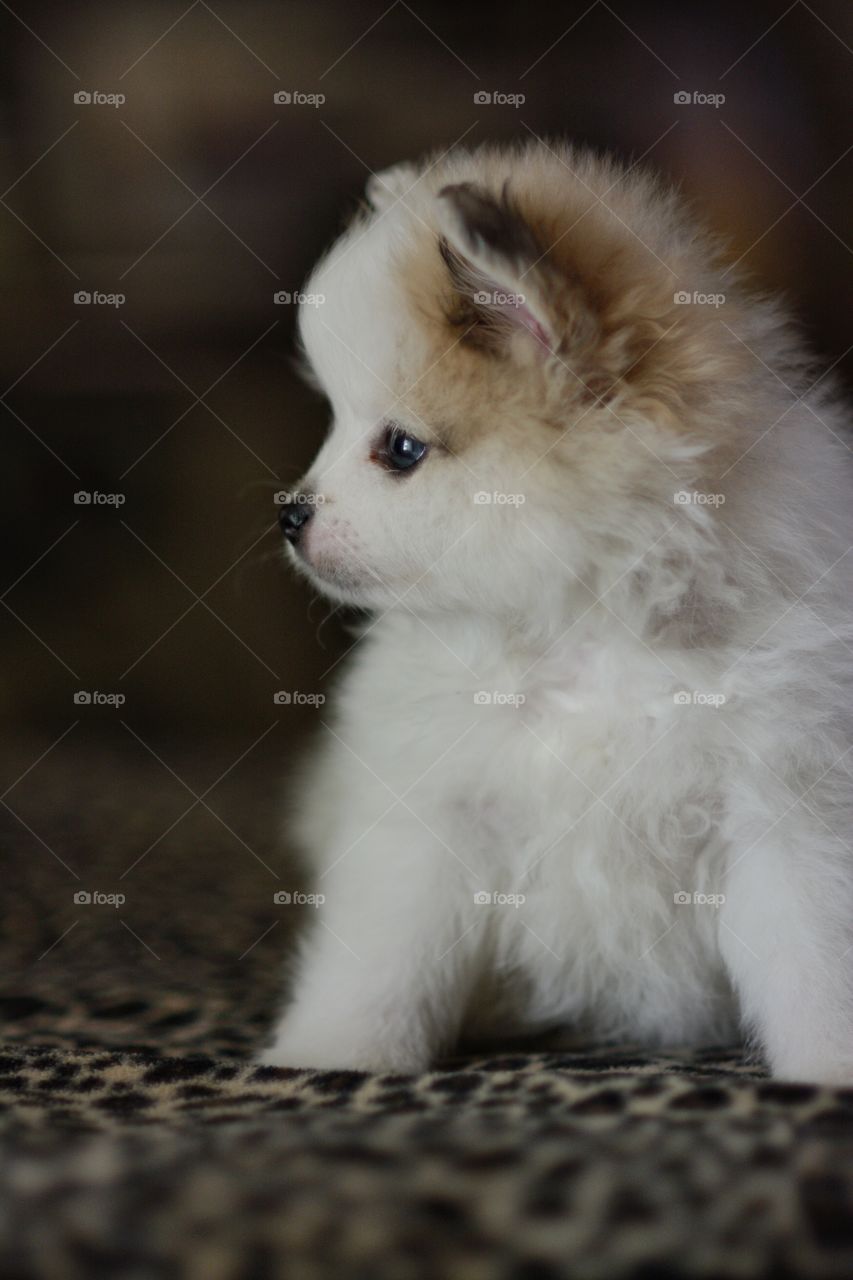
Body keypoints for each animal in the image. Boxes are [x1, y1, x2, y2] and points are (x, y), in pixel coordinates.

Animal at [258, 137, 850, 1080]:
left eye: (400, 449)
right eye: (335, 424)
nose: (289, 514)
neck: (583, 633)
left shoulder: (783, 817)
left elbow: (815, 968)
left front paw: (830, 1071)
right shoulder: (431, 820)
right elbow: (383, 962)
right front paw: (333, 1053)